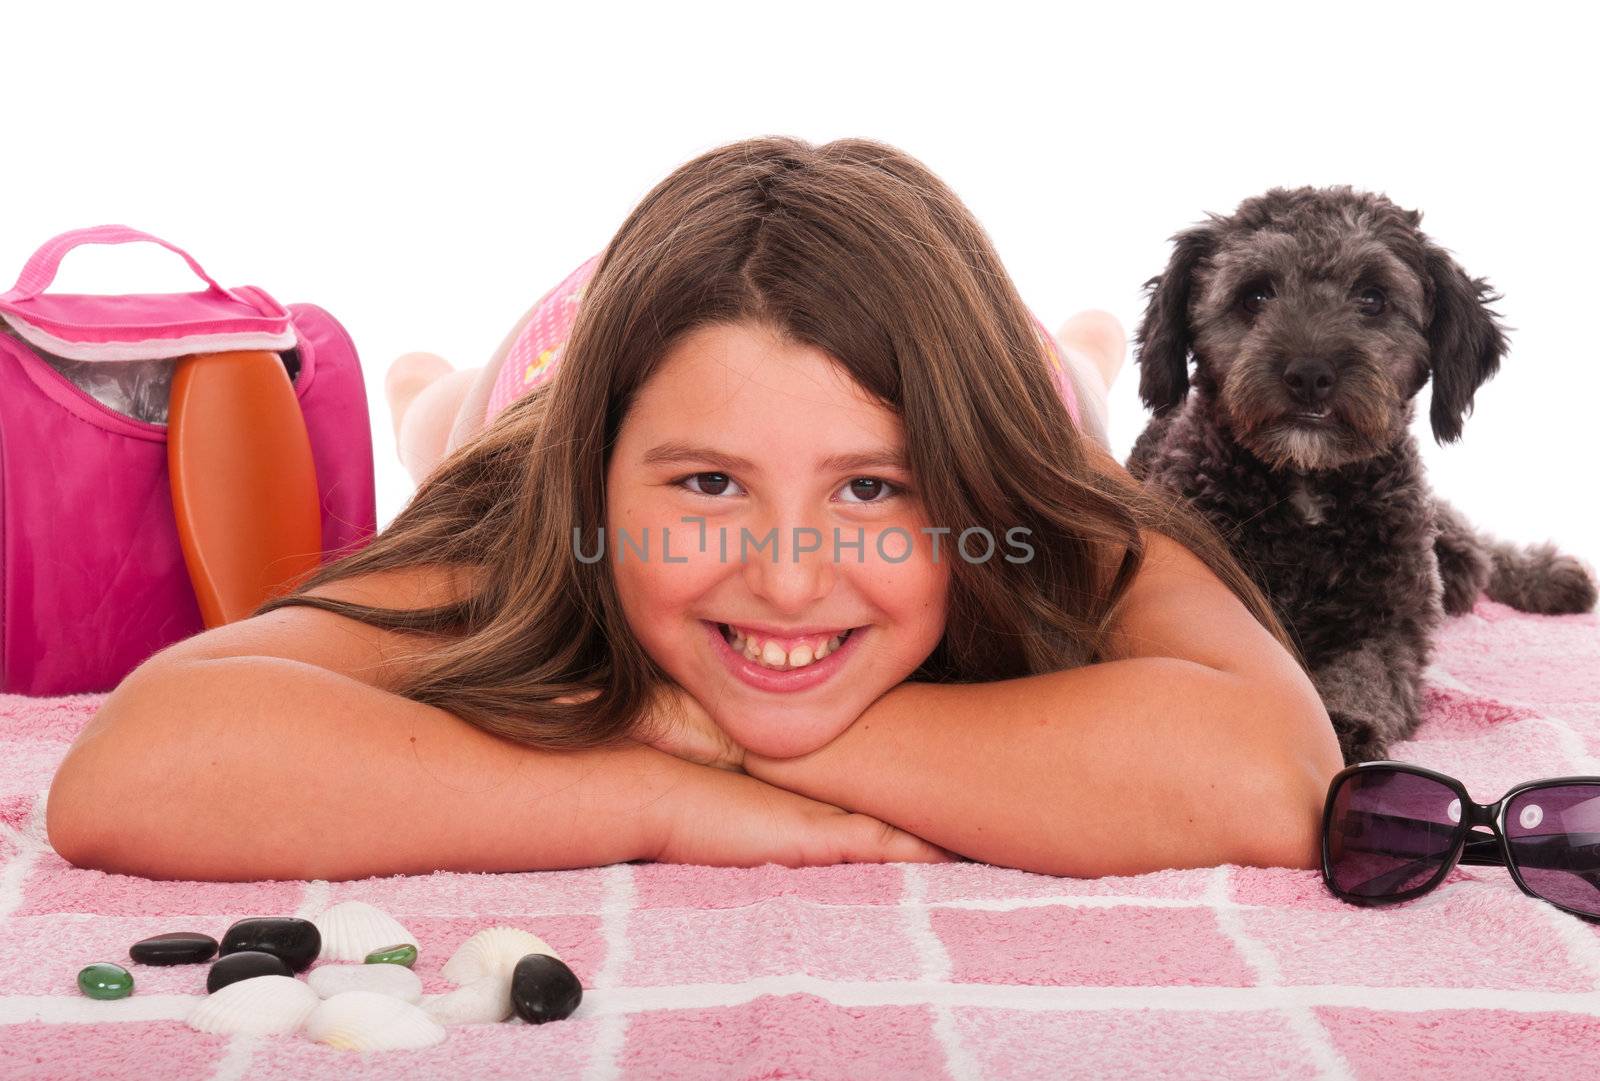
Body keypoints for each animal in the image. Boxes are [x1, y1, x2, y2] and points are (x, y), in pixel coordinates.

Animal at [1126, 187, 1600, 767]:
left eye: (1373, 299)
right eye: (1254, 296)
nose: (1309, 374)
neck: (1305, 485)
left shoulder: (1389, 615)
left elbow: (1366, 672)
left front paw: (1343, 721)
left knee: (1474, 550)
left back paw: (1551, 575)